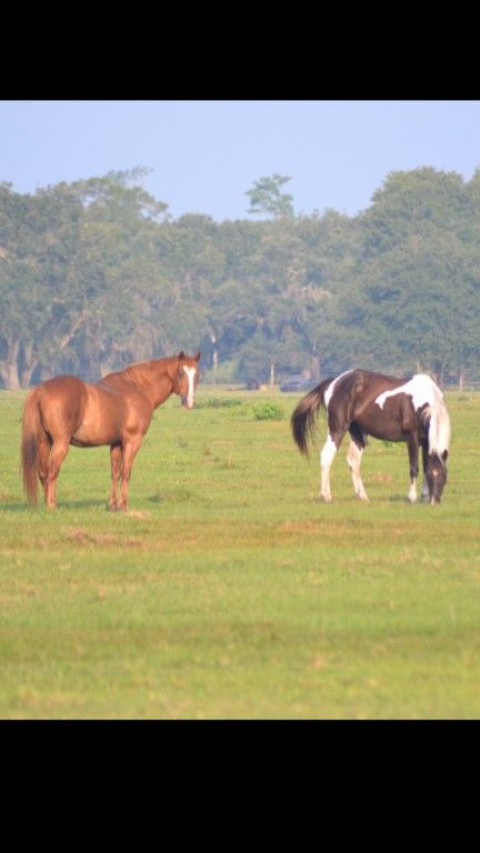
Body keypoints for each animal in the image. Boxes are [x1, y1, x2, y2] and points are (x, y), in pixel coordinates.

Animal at [20, 350, 201, 510]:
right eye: (180, 373)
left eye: (197, 375)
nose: (189, 402)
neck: (138, 387)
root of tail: (40, 390)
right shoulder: (132, 440)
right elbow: (126, 471)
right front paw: (124, 505)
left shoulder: (116, 443)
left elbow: (115, 473)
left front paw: (113, 505)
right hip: (60, 444)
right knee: (53, 471)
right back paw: (52, 505)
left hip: (44, 442)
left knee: (43, 473)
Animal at [290, 368, 452, 502]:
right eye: (433, 476)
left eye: (444, 476)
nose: (434, 501)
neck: (424, 401)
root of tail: (335, 381)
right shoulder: (412, 438)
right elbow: (414, 467)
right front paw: (412, 497)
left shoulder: (425, 441)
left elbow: (425, 466)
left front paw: (423, 496)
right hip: (337, 430)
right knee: (326, 456)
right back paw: (326, 496)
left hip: (357, 434)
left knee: (353, 461)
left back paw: (362, 496)